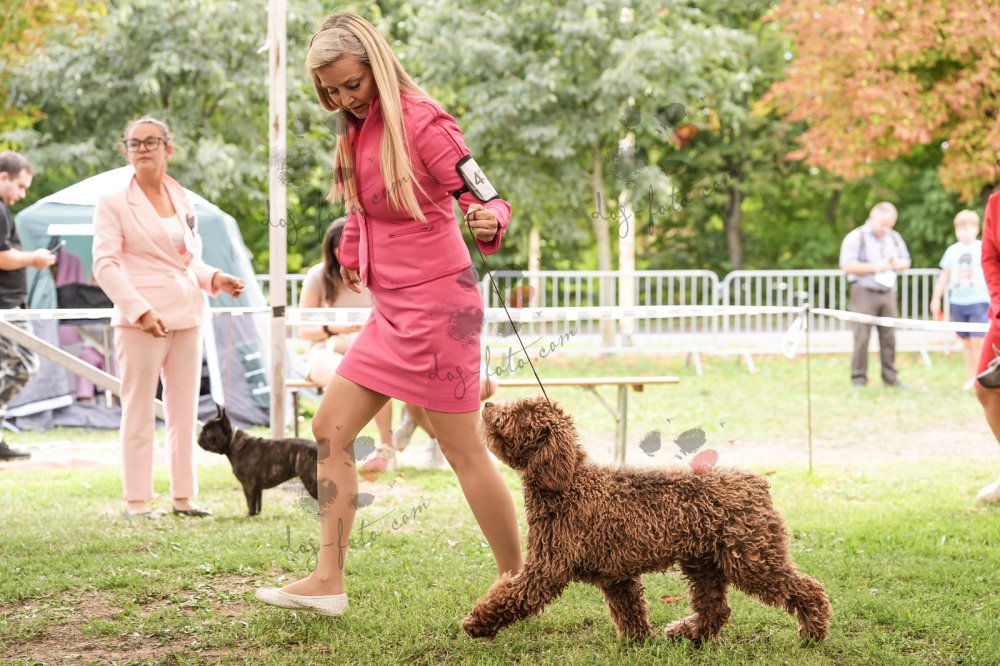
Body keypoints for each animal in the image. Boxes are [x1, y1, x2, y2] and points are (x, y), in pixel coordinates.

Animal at [462, 397, 831, 644]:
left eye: (521, 412)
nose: (488, 403)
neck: (569, 483)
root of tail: (755, 483)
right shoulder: (616, 574)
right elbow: (629, 610)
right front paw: (637, 643)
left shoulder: (546, 569)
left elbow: (512, 595)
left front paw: (477, 622)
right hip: (704, 562)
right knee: (716, 609)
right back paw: (686, 633)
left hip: (752, 558)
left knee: (806, 588)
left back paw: (813, 633)